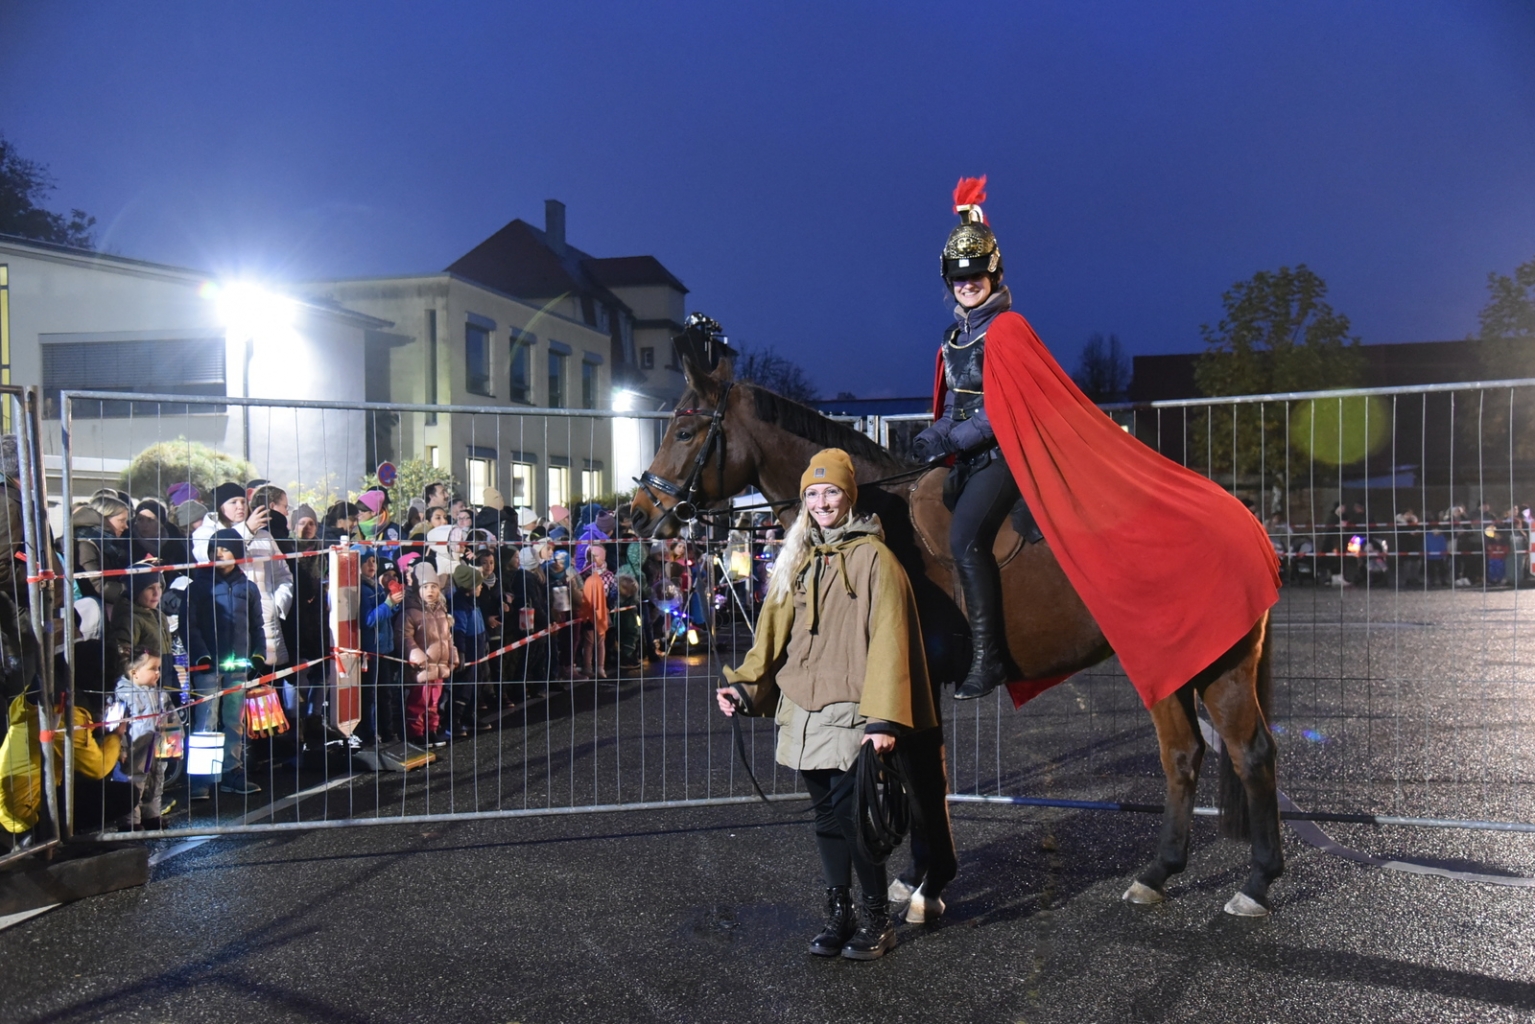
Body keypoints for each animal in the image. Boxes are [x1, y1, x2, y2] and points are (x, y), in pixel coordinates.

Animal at [623, 340, 1283, 914]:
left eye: (685, 431)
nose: (638, 514)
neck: (873, 520)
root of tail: (1247, 520)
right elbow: (917, 775)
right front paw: (918, 874)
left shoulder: (910, 674)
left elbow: (920, 774)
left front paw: (931, 883)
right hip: (1173, 667)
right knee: (1188, 753)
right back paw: (1160, 872)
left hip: (1211, 668)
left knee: (1243, 752)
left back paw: (1255, 882)